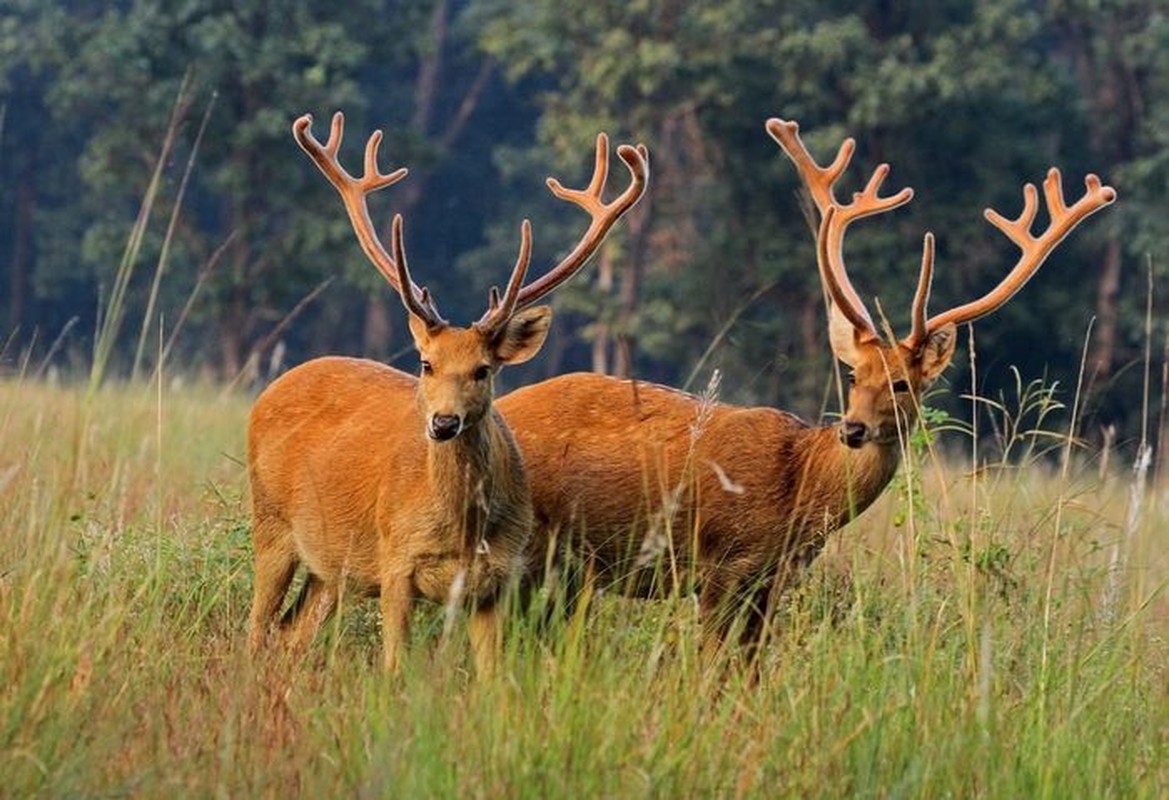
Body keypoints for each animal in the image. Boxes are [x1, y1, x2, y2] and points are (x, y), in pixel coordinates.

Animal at [247, 111, 649, 673]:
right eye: (426, 363)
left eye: (484, 370)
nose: (443, 423)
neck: (462, 532)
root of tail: (273, 387)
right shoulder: (396, 560)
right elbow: (395, 665)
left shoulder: (498, 578)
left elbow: (492, 673)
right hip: (270, 523)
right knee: (255, 625)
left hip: (331, 567)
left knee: (290, 632)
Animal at [497, 118, 1117, 654]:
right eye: (854, 374)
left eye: (901, 383)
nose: (854, 428)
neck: (800, 491)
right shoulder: (722, 564)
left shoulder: (772, 580)